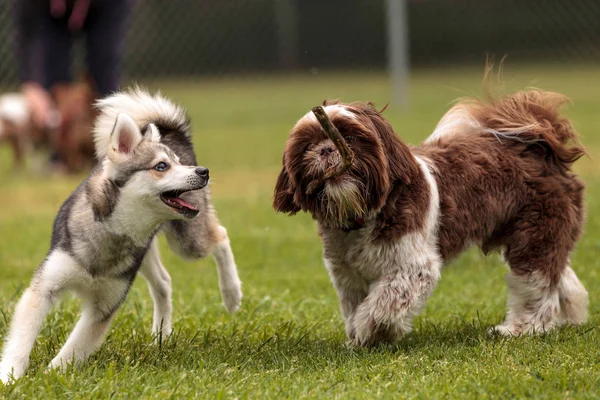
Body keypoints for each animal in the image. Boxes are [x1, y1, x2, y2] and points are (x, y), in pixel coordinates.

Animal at [1, 88, 244, 384]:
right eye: (161, 166)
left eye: (178, 163)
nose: (203, 172)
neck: (112, 232)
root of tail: (172, 132)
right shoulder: (44, 286)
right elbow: (22, 338)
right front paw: (9, 376)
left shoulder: (104, 307)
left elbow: (73, 348)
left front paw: (52, 375)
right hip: (149, 253)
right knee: (164, 282)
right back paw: (161, 335)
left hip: (187, 242)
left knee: (220, 236)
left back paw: (231, 294)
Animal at [274, 79, 588, 346]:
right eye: (307, 145)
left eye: (349, 137)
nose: (326, 149)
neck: (364, 215)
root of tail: (540, 144)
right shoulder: (348, 274)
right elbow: (355, 305)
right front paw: (357, 337)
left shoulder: (412, 267)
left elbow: (383, 305)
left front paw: (370, 332)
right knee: (559, 275)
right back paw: (567, 317)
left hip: (535, 234)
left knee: (535, 283)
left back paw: (523, 328)